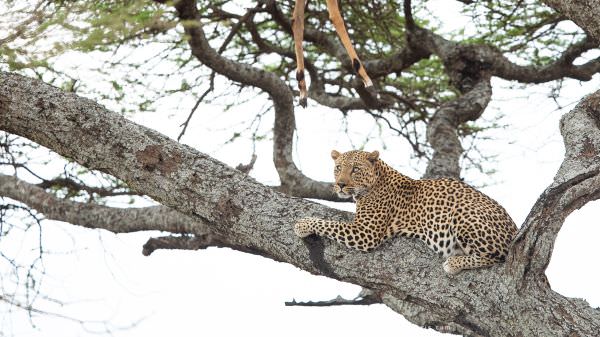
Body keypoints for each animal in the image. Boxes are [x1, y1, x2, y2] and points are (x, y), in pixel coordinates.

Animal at [292, 149, 516, 272]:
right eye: (338, 168)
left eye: (355, 169)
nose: (340, 184)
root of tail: (514, 228)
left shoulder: (366, 233)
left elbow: (329, 223)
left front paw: (302, 224)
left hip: (464, 213)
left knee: (499, 256)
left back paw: (454, 263)